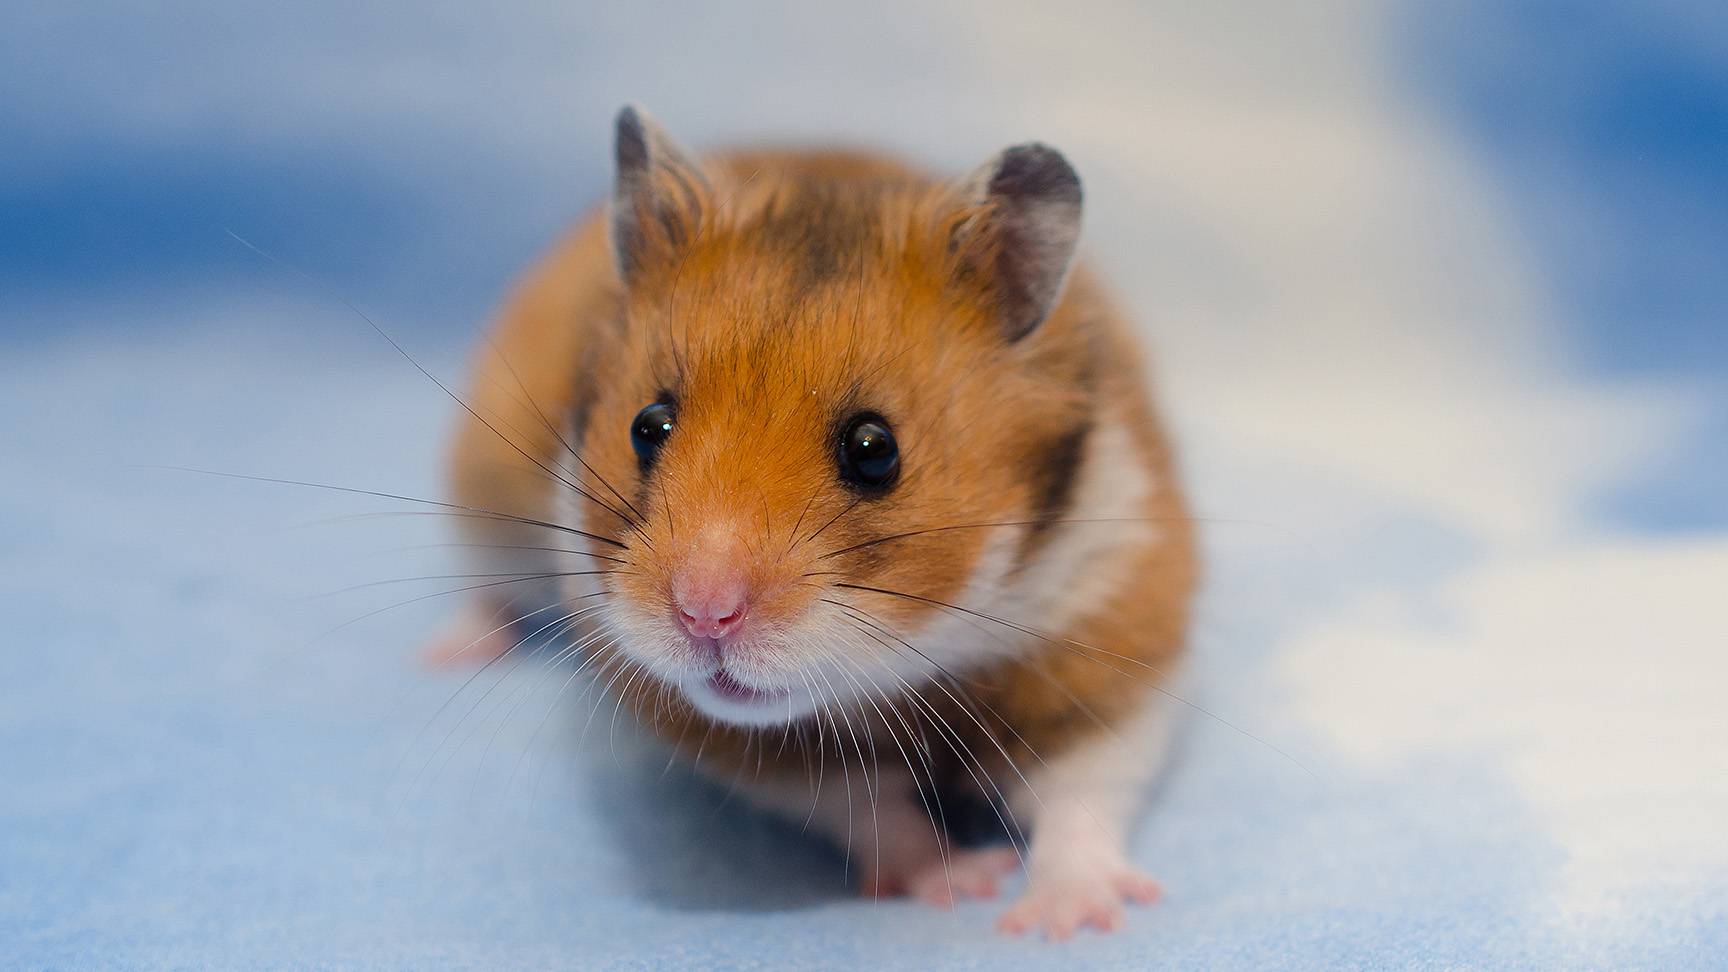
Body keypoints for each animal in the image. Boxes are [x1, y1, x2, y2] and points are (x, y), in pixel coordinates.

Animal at [435, 105, 1197, 939]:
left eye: (874, 449)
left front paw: (1063, 921)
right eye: (648, 426)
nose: (703, 614)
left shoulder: (1112, 635)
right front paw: (964, 882)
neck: (921, 659)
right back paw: (448, 655)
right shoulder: (753, 747)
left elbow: (1081, 791)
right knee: (487, 591)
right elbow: (872, 811)